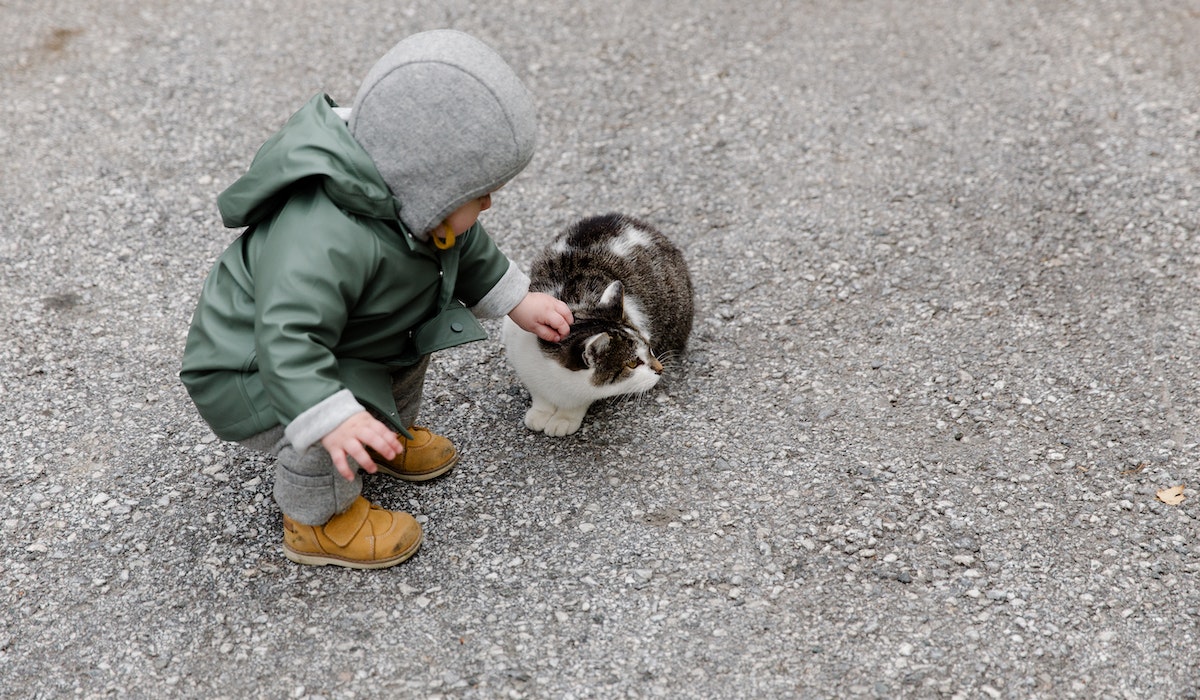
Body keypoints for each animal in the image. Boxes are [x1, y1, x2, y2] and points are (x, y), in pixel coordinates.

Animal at [504, 211, 696, 434]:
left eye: (649, 347)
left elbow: (581, 399)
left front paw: (565, 418)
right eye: (632, 363)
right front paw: (541, 412)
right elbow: (539, 393)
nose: (660, 368)